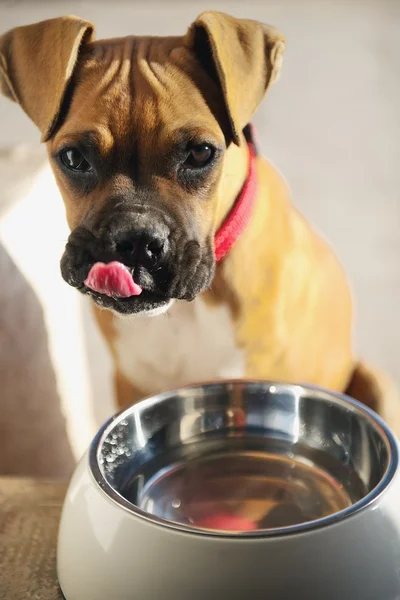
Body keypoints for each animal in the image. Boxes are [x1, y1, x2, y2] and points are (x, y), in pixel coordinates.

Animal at [1, 9, 398, 432]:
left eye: (200, 153)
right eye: (74, 158)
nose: (135, 240)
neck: (184, 311)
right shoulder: (128, 384)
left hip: (379, 384)